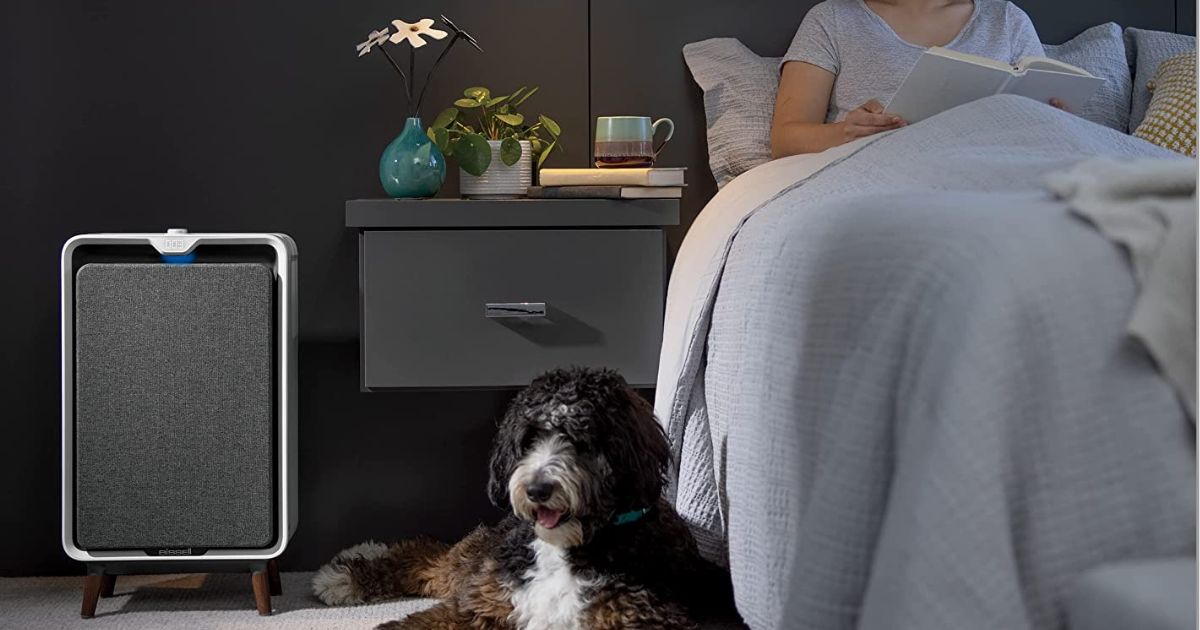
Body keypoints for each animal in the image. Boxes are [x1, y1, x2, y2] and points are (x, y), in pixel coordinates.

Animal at [314, 364, 724, 624]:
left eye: (582, 440)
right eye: (528, 440)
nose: (537, 489)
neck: (568, 550)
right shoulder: (485, 601)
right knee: (430, 556)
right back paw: (346, 574)